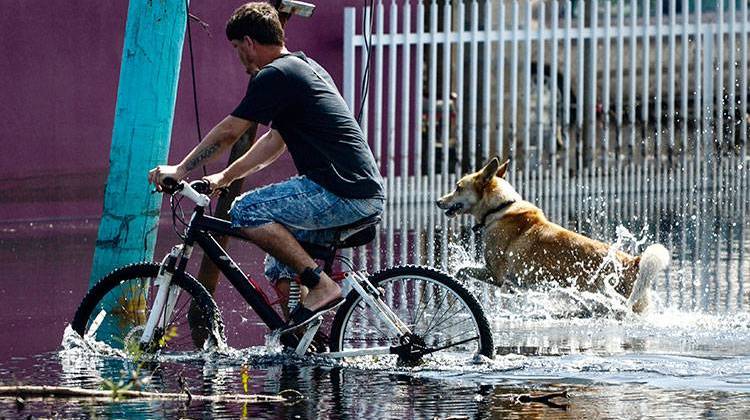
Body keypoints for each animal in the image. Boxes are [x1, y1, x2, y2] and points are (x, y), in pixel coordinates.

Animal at [438, 157, 672, 312]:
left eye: (458, 187)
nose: (438, 201)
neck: (499, 208)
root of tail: (634, 261)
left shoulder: (495, 274)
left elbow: (461, 270)